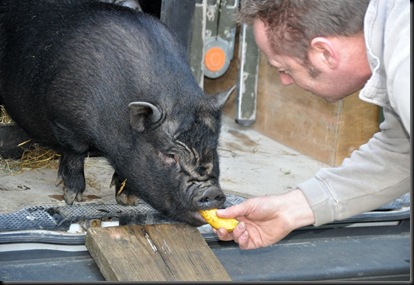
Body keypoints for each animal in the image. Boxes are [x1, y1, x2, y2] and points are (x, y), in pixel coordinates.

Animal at [0, 0, 233, 226]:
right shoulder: (64, 119)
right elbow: (75, 152)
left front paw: (127, 200)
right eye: (169, 155)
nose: (213, 193)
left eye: (214, 148)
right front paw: (73, 198)